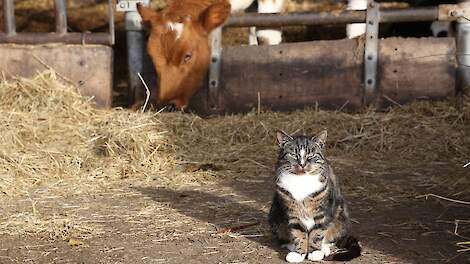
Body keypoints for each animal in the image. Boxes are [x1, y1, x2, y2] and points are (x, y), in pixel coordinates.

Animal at [268, 130, 360, 262]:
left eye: (311, 155)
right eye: (293, 154)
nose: (302, 164)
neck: (301, 179)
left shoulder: (322, 212)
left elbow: (317, 232)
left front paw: (315, 252)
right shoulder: (292, 212)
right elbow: (298, 233)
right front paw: (299, 253)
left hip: (341, 216)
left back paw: (324, 248)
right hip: (274, 216)